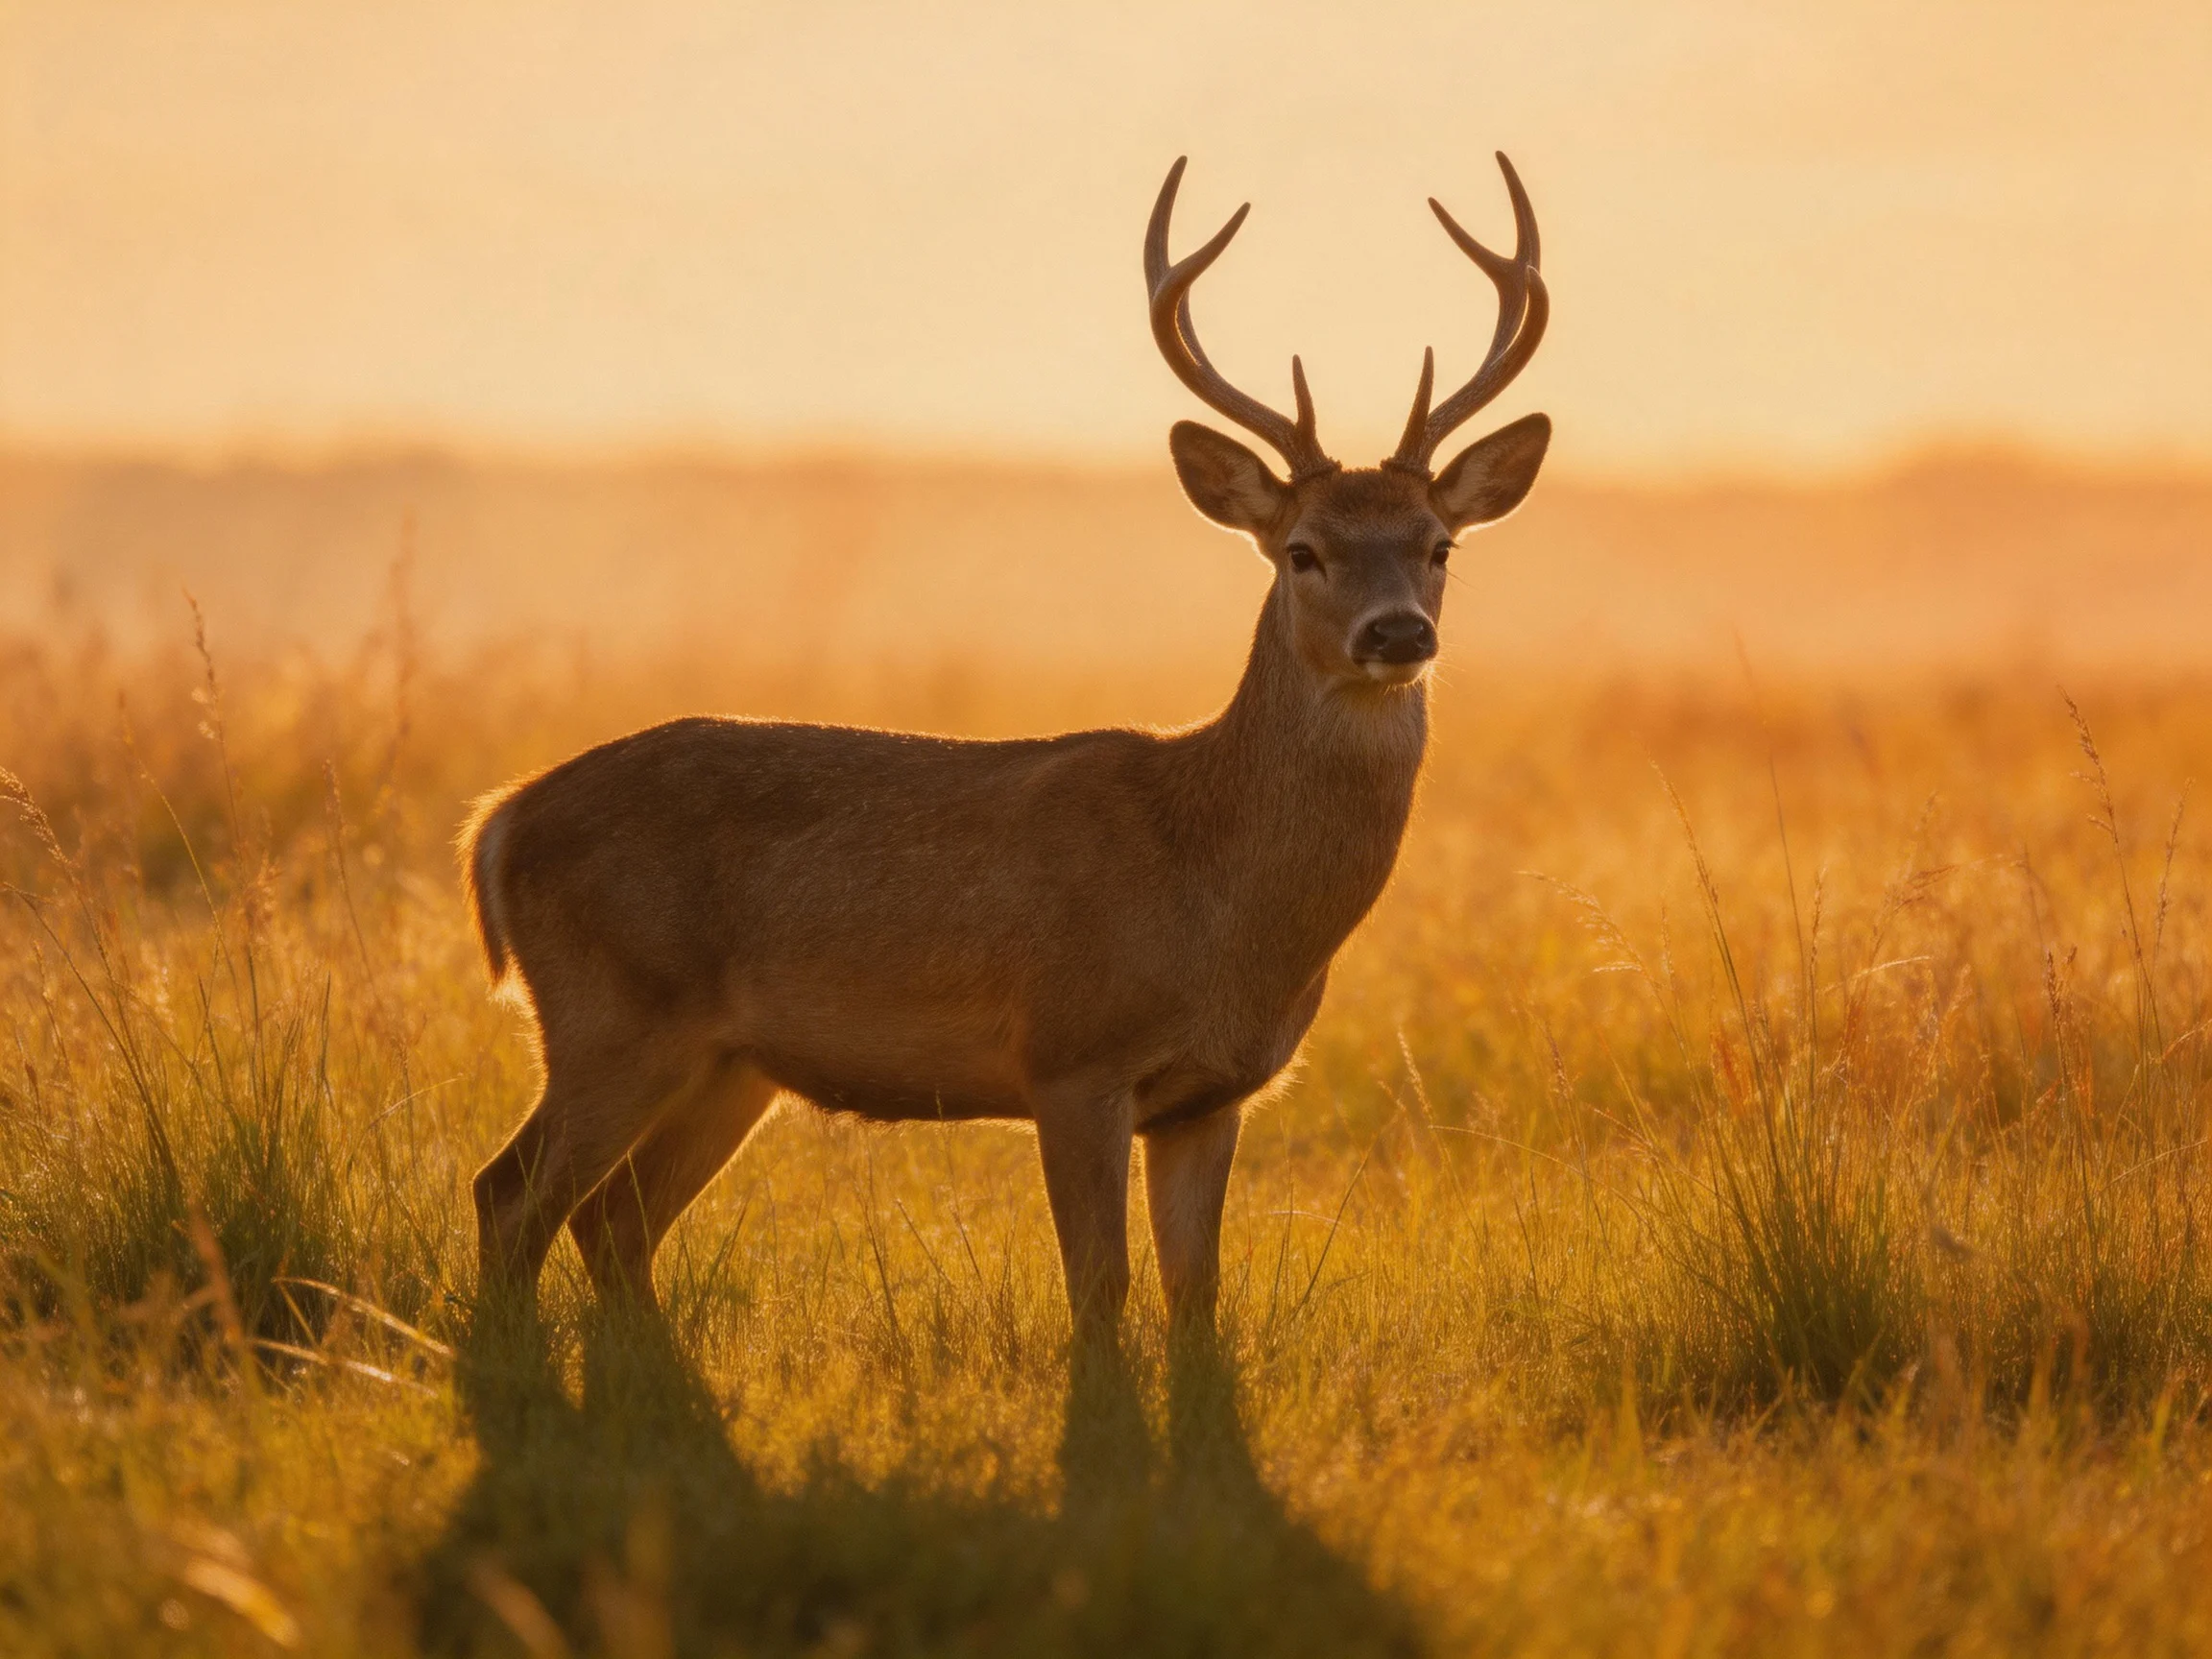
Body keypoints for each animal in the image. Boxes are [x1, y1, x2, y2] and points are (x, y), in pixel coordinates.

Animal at [462, 152, 1551, 1344]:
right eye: (1303, 550)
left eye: (1439, 546)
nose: (1397, 633)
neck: (1213, 887)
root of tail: (501, 819)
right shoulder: (1070, 1055)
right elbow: (1100, 1286)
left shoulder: (1213, 1096)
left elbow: (1196, 1294)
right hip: (612, 1011)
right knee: (509, 1192)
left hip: (728, 1063)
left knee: (613, 1218)